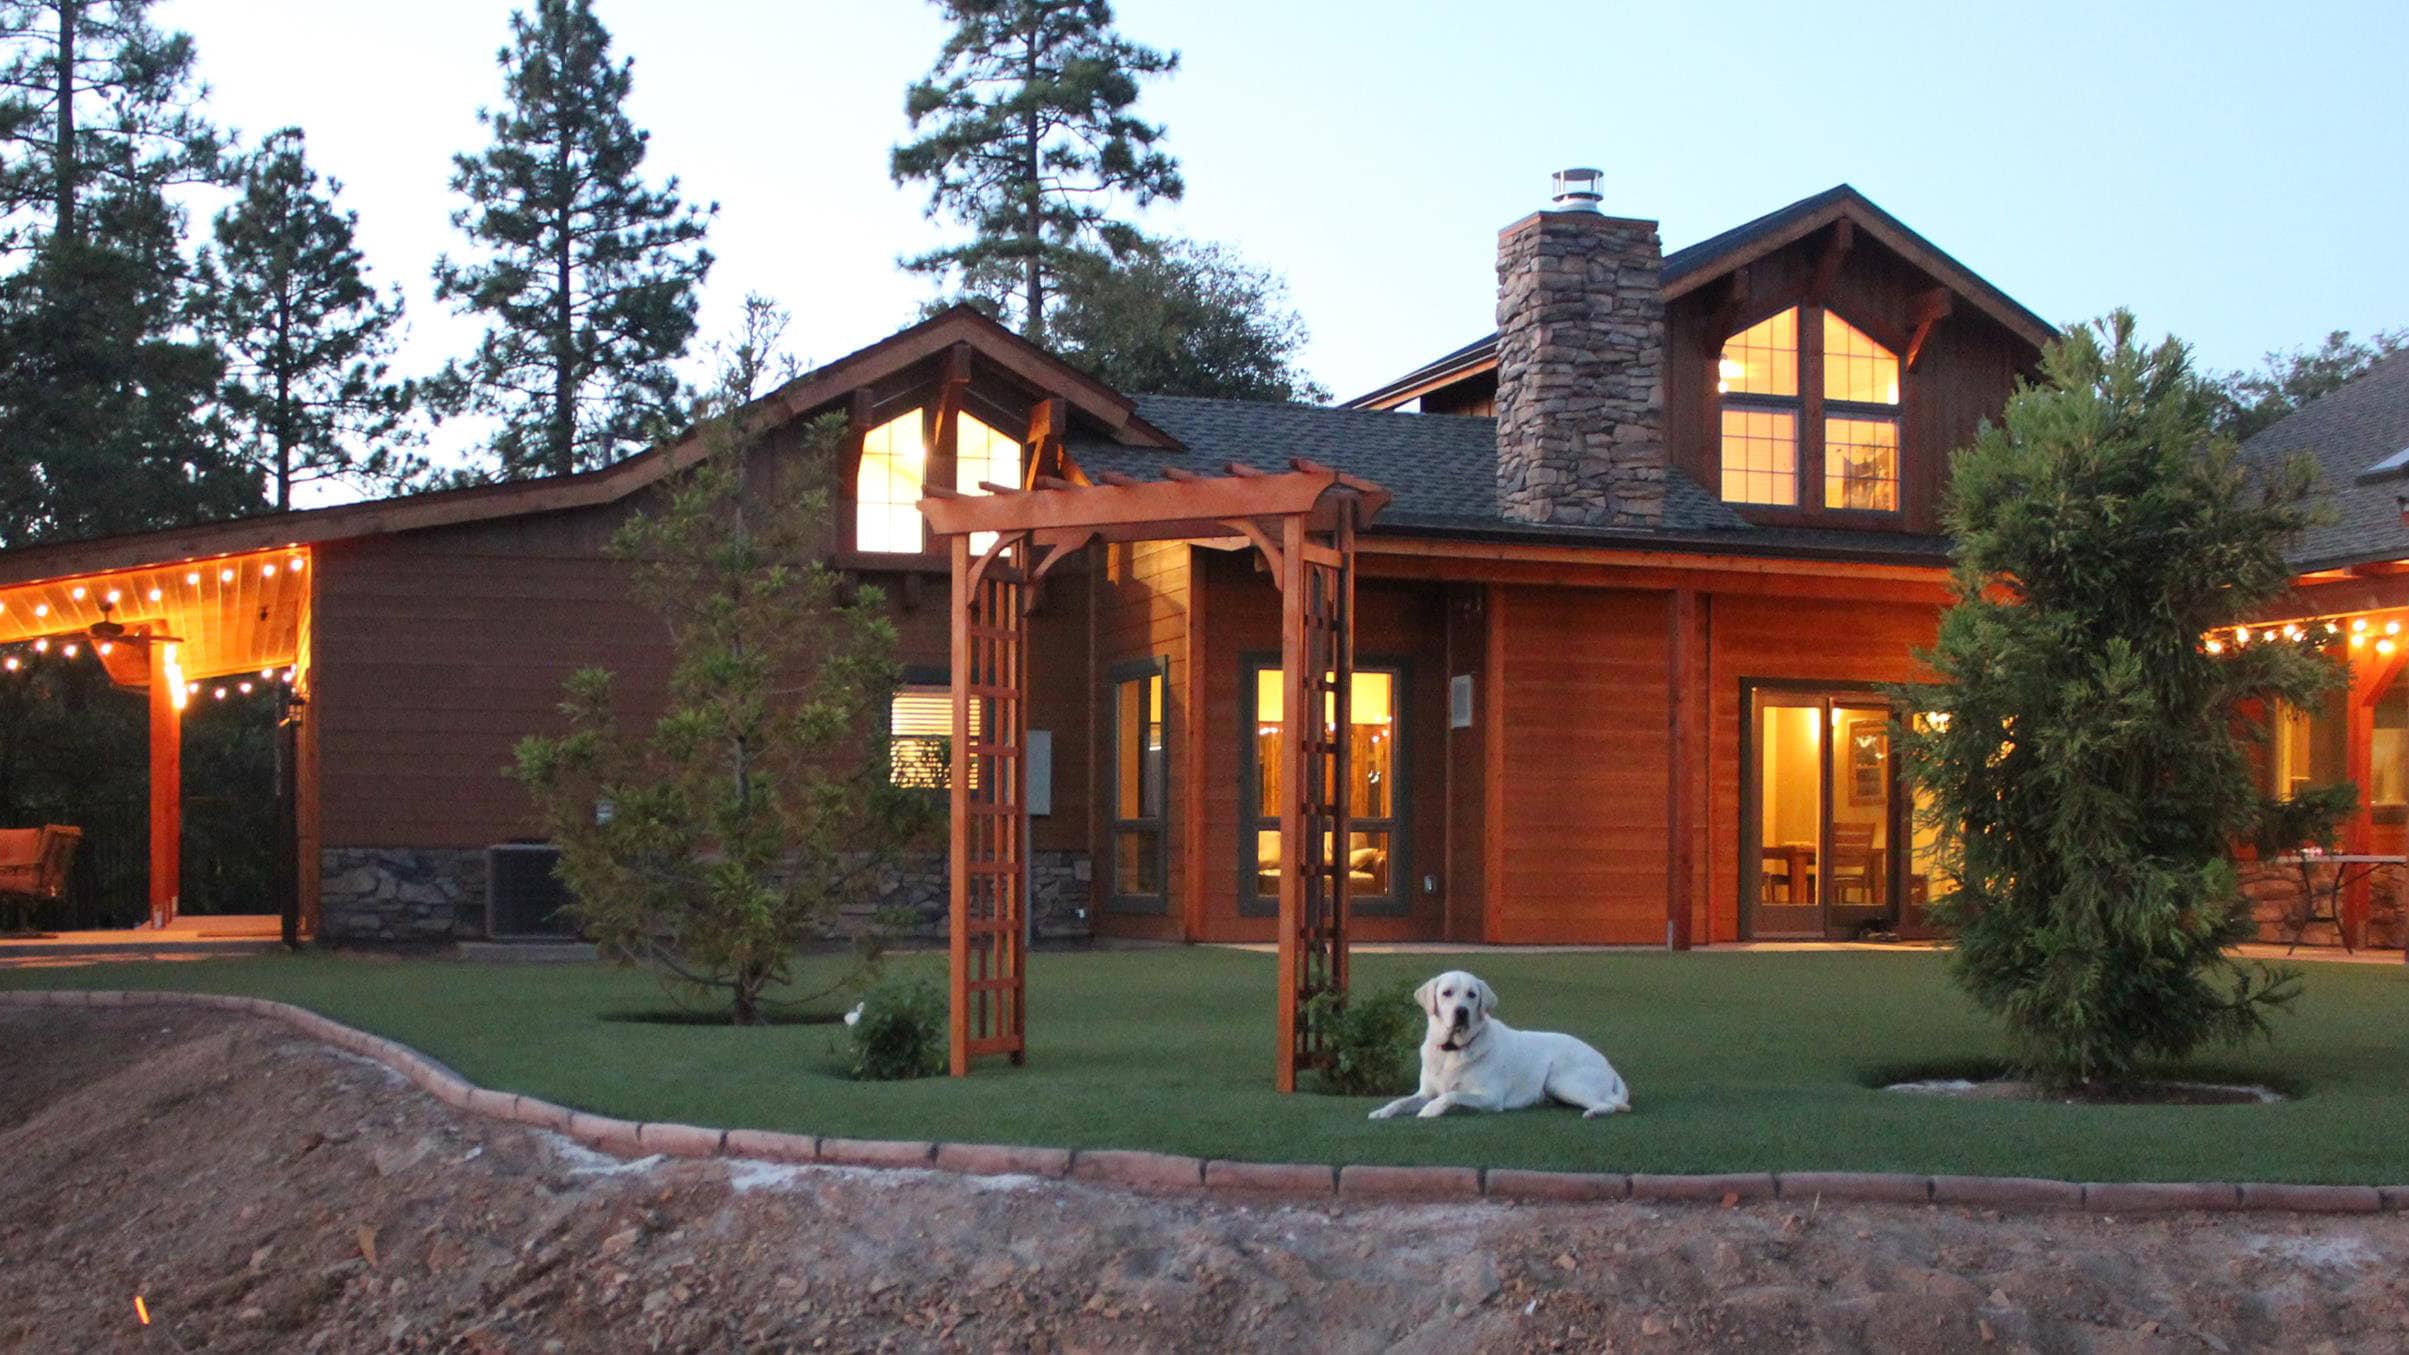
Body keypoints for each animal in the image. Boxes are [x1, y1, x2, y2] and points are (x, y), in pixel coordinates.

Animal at [1368, 964, 1628, 1113]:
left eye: (1471, 995)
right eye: (1446, 993)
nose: (1461, 1012)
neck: (1453, 1050)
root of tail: (1609, 1066)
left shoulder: (1491, 1097)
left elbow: (1452, 1095)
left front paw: (1430, 1111)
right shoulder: (1424, 1093)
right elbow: (1400, 1102)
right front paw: (1381, 1112)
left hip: (1560, 1080)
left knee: (1610, 1105)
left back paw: (1593, 1112)